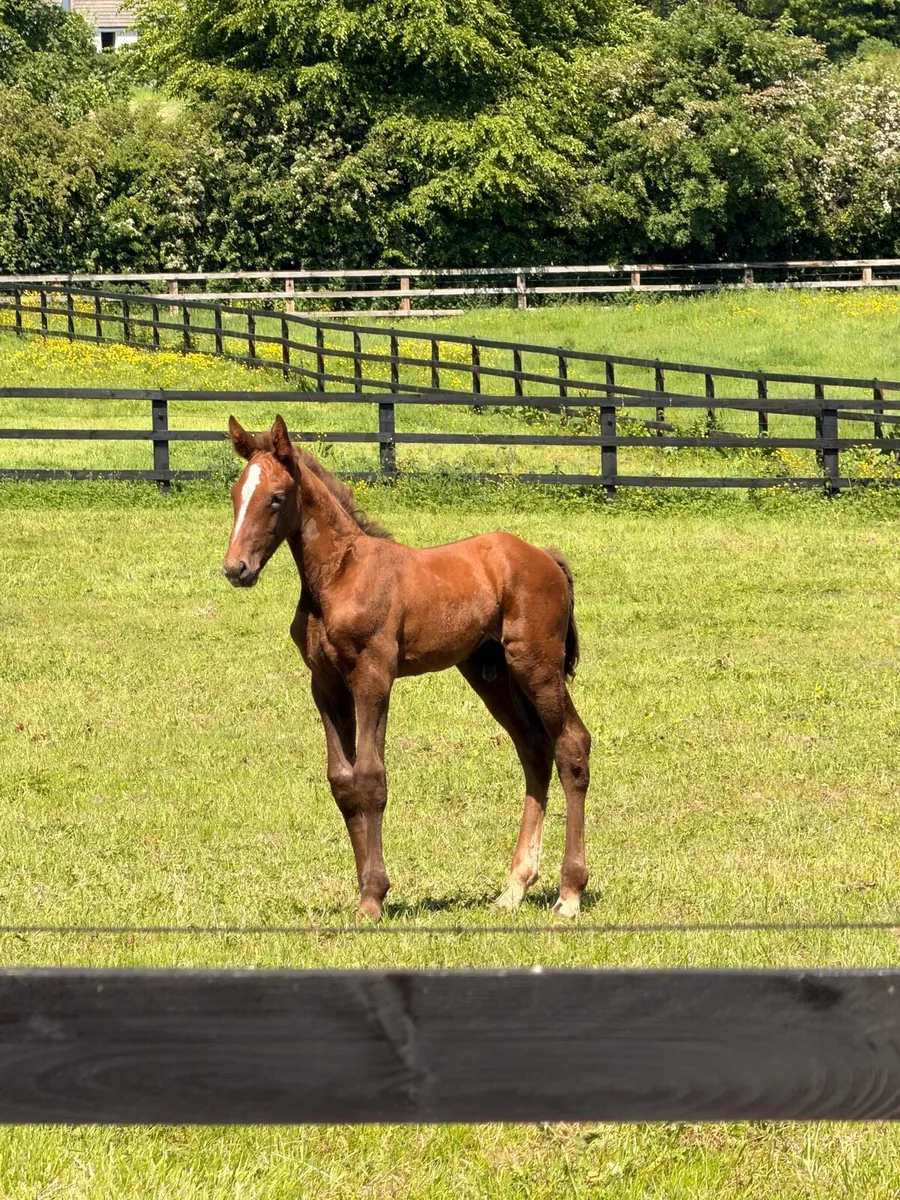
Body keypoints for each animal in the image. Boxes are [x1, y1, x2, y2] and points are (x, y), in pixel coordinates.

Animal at [222, 415, 591, 921]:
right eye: (236, 494)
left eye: (276, 497)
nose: (235, 569)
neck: (338, 577)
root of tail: (547, 558)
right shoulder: (325, 684)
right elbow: (342, 782)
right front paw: (364, 893)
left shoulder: (372, 676)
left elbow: (370, 778)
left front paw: (374, 898)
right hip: (490, 673)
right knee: (534, 749)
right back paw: (514, 888)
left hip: (535, 664)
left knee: (571, 745)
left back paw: (569, 894)